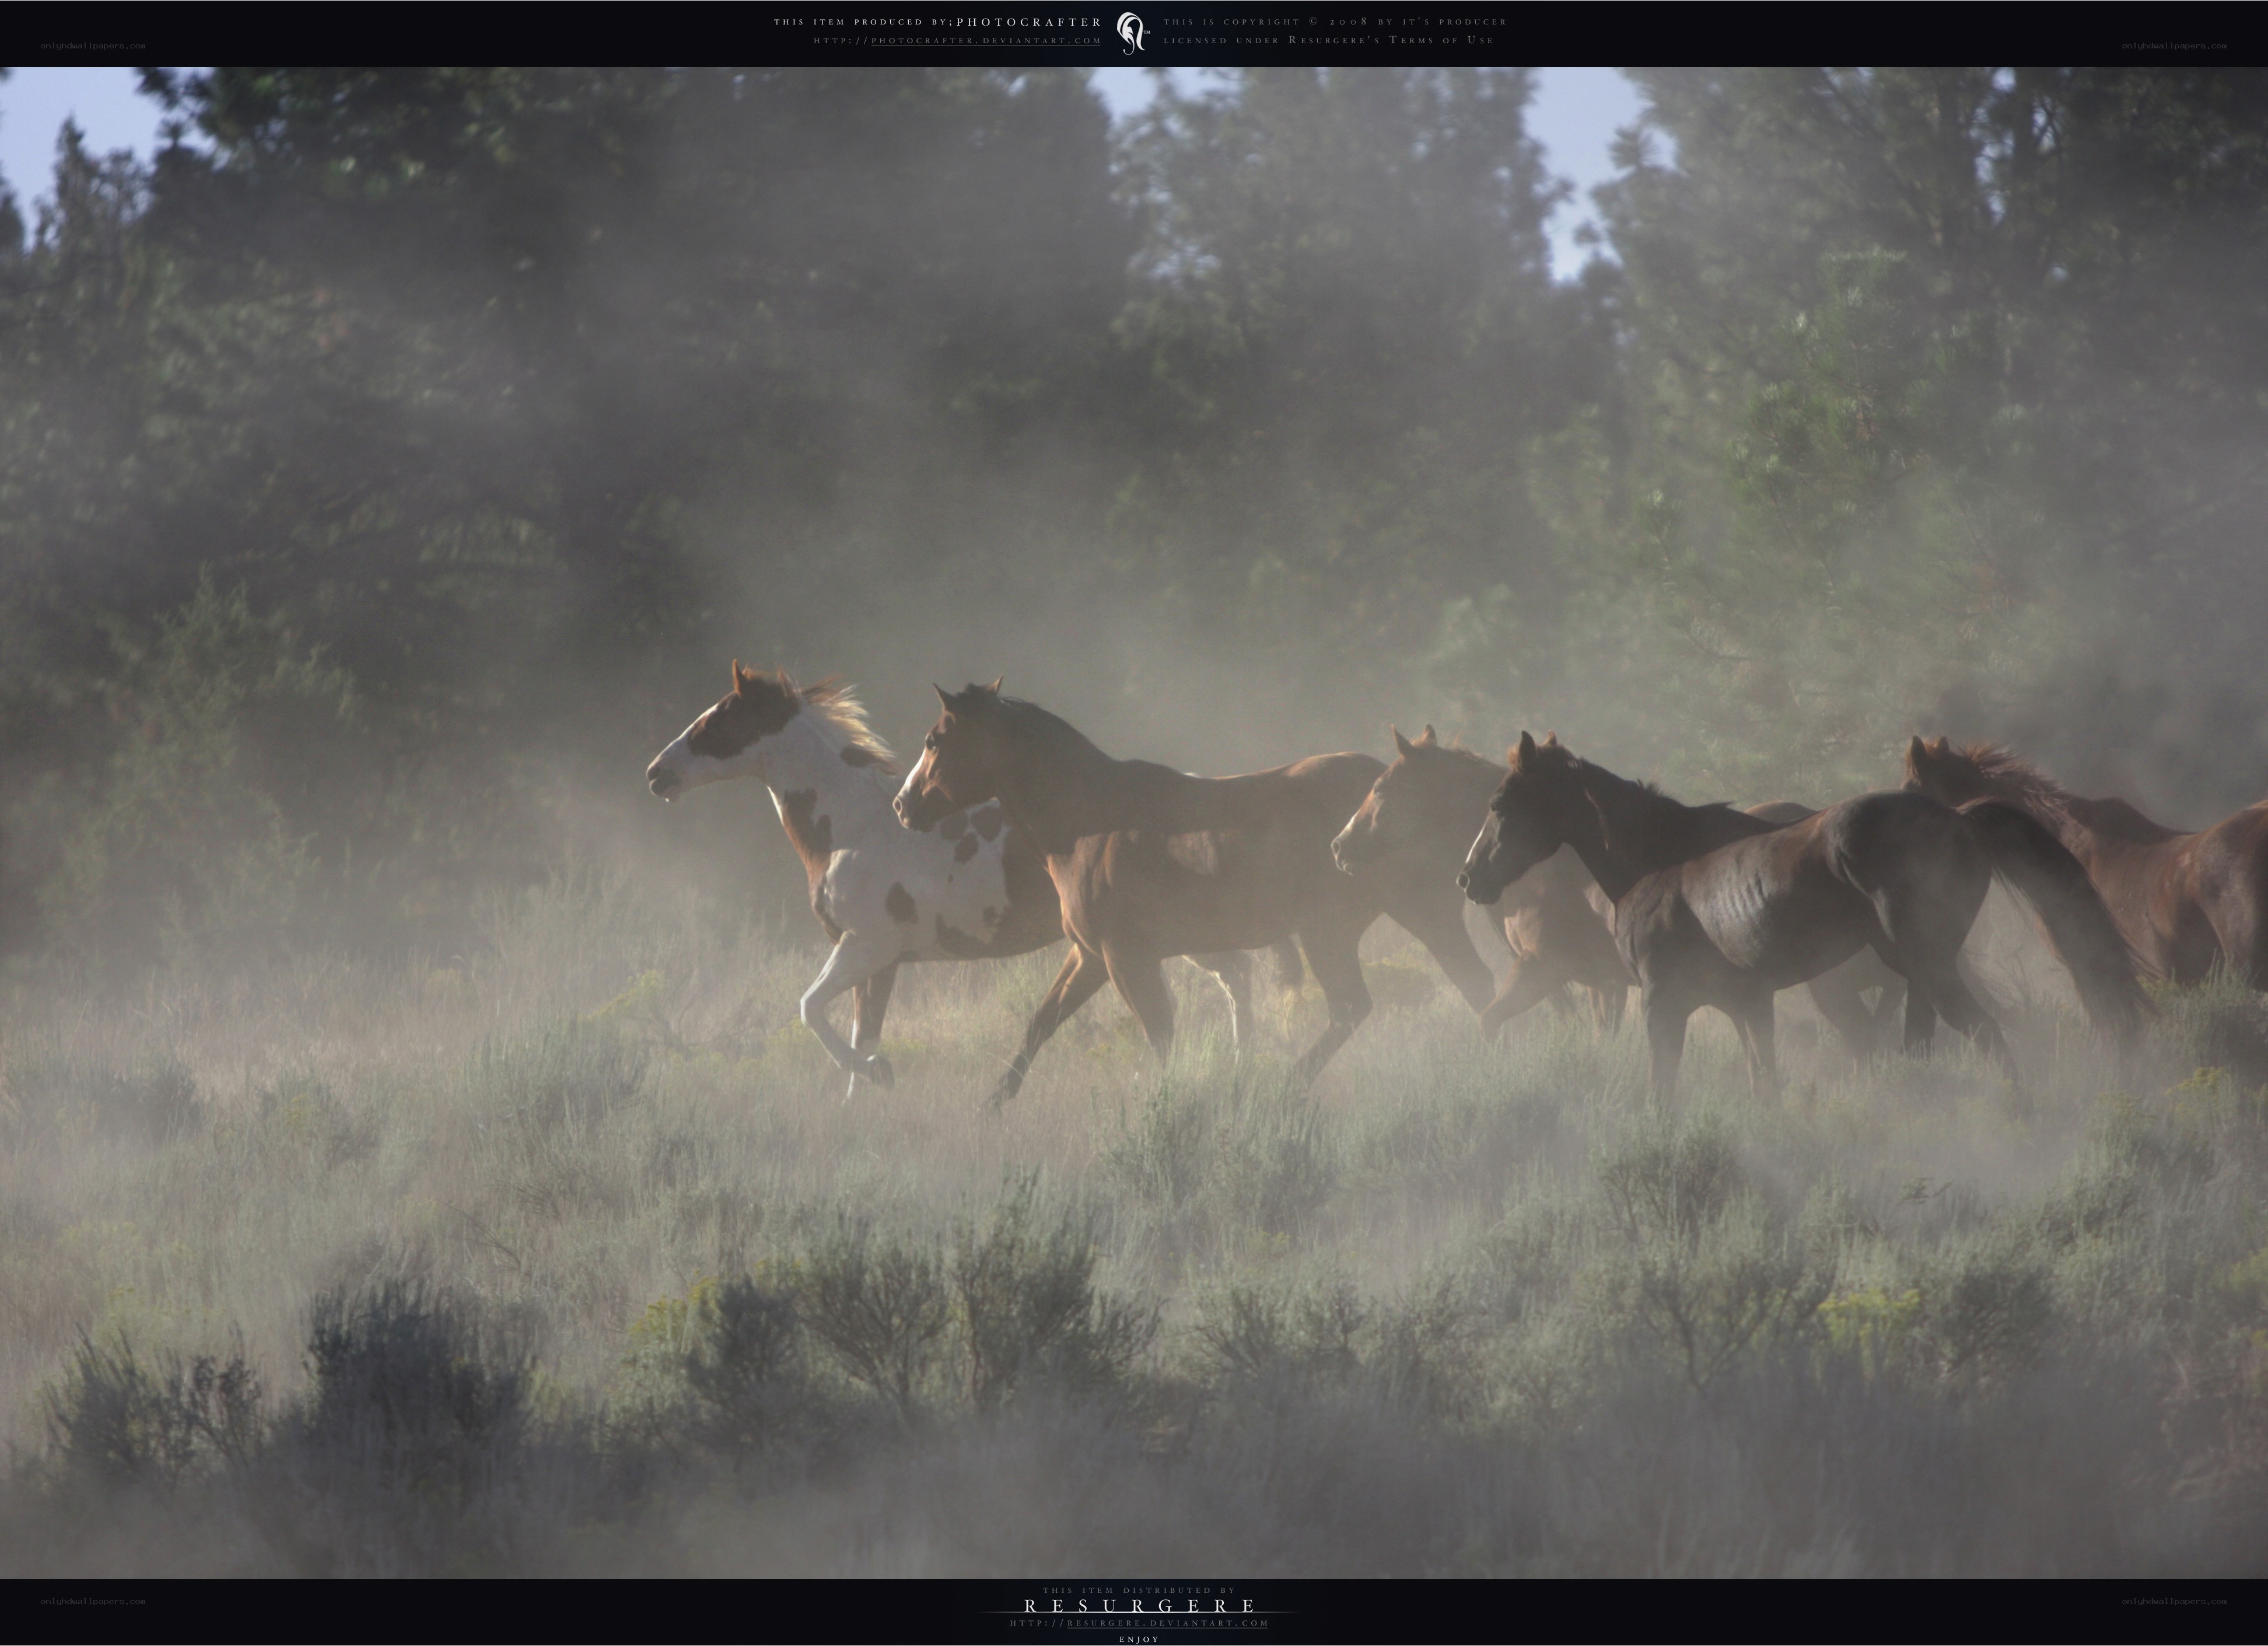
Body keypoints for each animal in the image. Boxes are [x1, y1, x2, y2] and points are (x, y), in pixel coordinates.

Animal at [646, 664, 1295, 1097]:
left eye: (718, 720)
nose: (657, 773)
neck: (852, 826)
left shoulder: (865, 946)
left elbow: (811, 1010)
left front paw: (880, 1074)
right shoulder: (881, 964)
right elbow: (858, 1032)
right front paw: (866, 1094)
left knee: (1237, 977)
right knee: (1237, 975)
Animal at [892, 681, 1501, 1100]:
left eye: (935, 741)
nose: (903, 804)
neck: (1091, 822)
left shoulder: (1126, 959)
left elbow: (1160, 1036)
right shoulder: (1090, 955)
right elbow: (1041, 1022)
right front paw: (993, 1102)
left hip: (1339, 929)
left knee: (1361, 1006)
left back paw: (1288, 1084)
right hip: (1410, 921)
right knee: (1471, 986)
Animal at [1330, 728, 1908, 1054]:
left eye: (1382, 788)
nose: (1339, 846)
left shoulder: (1543, 971)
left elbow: (1492, 1020)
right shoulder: (1600, 985)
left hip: (1833, 984)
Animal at [1457, 733, 2147, 1104]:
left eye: (1501, 803)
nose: (1468, 877)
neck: (1661, 858)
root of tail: (1960, 819)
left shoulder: (1663, 1002)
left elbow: (1664, 1087)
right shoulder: (1749, 1003)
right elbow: (1765, 1081)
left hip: (1922, 966)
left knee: (1985, 1033)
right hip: (1917, 973)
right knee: (1923, 1042)